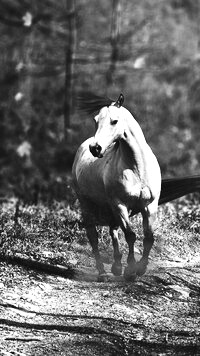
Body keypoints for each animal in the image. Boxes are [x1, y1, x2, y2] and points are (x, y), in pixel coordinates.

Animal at [72, 94, 161, 280]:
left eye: (114, 121)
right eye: (96, 120)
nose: (95, 148)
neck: (138, 168)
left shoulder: (150, 205)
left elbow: (149, 237)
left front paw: (141, 268)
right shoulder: (120, 204)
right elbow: (130, 235)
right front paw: (131, 270)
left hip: (110, 207)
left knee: (113, 230)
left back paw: (116, 266)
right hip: (88, 204)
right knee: (93, 236)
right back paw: (103, 272)